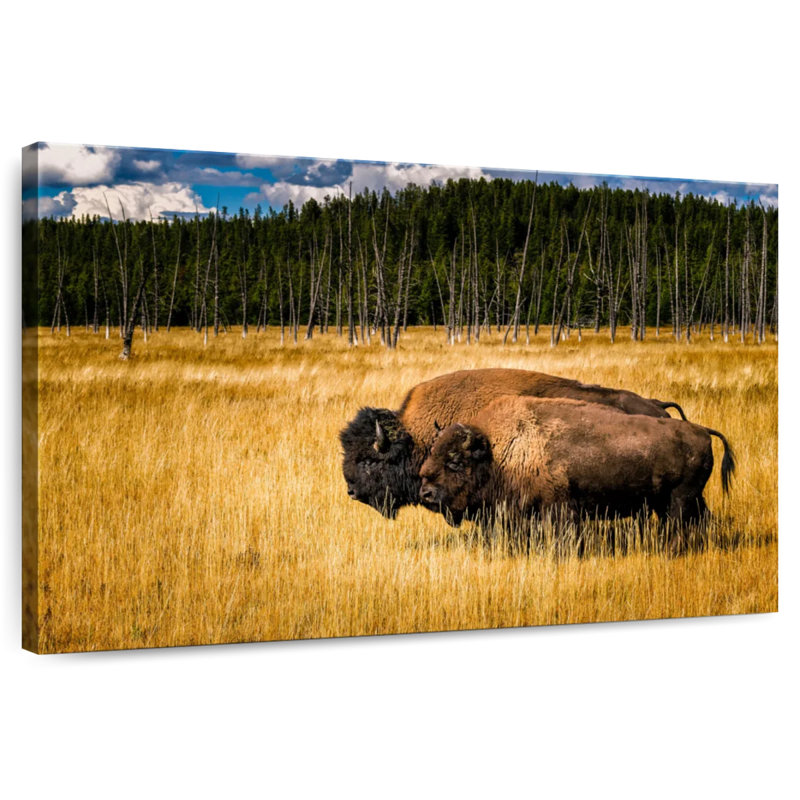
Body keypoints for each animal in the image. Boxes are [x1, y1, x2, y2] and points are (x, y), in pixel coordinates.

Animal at [418, 396, 735, 545]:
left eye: (455, 461)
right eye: (431, 454)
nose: (426, 494)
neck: (500, 451)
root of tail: (701, 430)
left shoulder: (559, 510)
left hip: (680, 500)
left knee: (680, 527)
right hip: (674, 500)